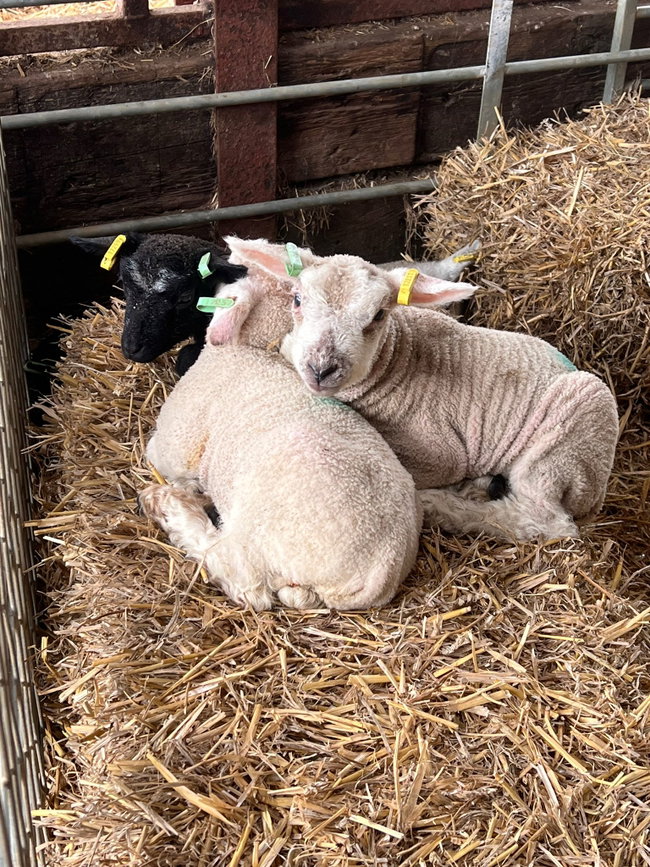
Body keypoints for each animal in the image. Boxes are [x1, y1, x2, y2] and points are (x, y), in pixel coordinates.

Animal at [139, 272, 422, 611]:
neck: (254, 347)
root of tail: (383, 568)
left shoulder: (177, 441)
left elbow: (156, 454)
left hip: (261, 522)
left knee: (243, 580)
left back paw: (166, 506)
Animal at [222, 237, 619, 542]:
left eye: (379, 315)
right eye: (297, 300)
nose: (321, 368)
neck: (392, 364)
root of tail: (597, 489)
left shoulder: (441, 454)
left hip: (572, 431)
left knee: (546, 520)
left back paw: (445, 507)